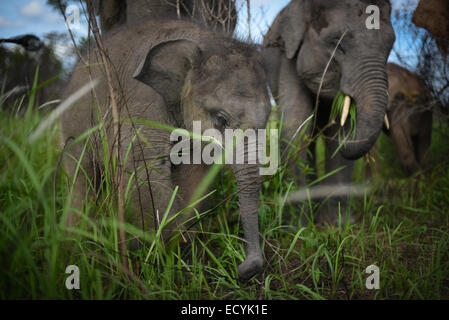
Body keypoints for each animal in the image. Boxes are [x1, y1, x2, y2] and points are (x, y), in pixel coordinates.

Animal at [61, 18, 272, 280]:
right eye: (221, 119)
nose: (245, 268)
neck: (205, 40)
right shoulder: (142, 103)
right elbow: (144, 168)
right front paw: (159, 255)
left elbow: (194, 174)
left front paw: (181, 252)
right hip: (73, 128)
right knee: (81, 179)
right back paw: (74, 247)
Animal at [260, 0, 394, 225]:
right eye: (337, 44)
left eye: (391, 46)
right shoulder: (290, 56)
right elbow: (295, 128)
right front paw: (298, 227)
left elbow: (340, 131)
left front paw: (339, 224)